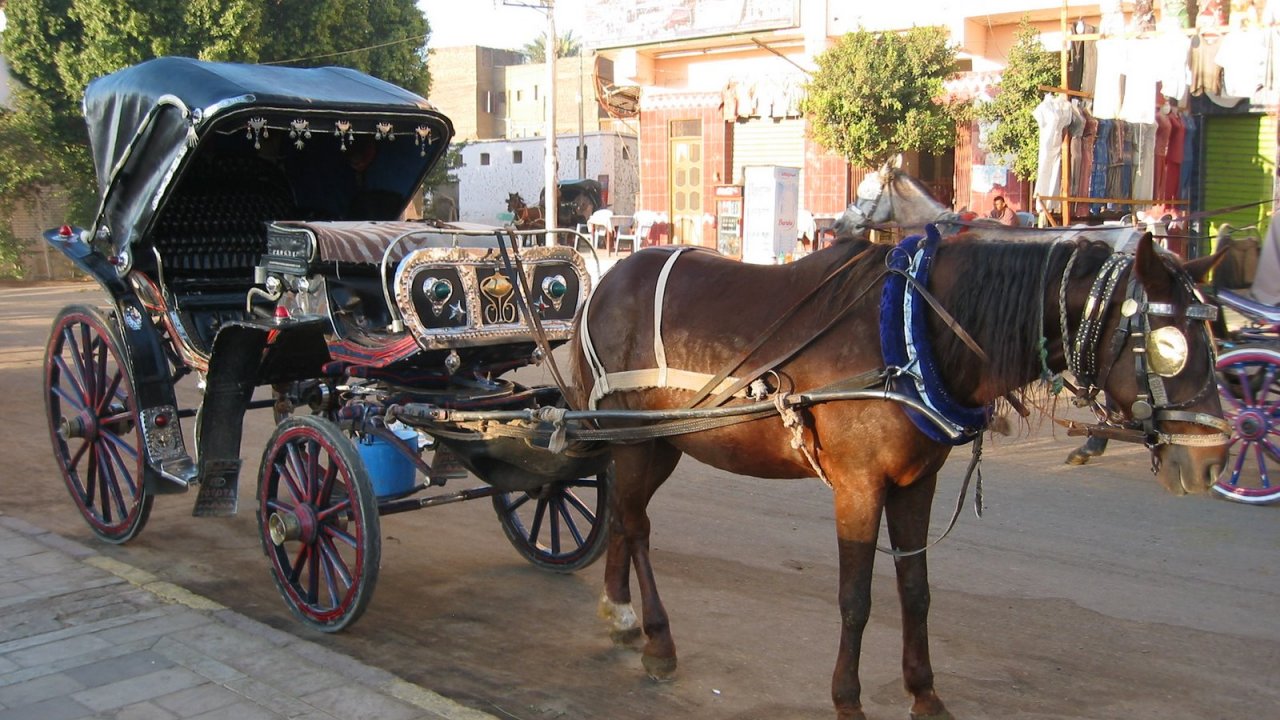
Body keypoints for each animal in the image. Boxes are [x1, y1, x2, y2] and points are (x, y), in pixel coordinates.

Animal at [570, 228, 1228, 720]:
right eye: (1168, 345)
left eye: (1214, 334)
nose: (1213, 457)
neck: (915, 335)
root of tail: (607, 283)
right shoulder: (859, 488)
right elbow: (856, 598)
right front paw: (848, 699)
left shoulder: (917, 483)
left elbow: (916, 591)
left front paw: (925, 692)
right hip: (635, 439)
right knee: (636, 525)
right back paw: (657, 638)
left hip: (657, 442)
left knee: (624, 518)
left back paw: (619, 611)